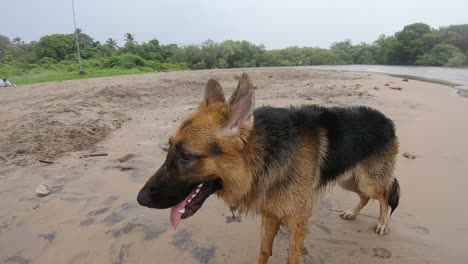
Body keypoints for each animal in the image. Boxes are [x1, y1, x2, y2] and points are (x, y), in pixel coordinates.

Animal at [136, 72, 398, 264]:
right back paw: (353, 213)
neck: (263, 157)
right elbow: (264, 251)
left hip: (368, 180)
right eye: (168, 149)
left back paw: (383, 223)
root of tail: (386, 120)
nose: (140, 199)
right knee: (367, 196)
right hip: (350, 179)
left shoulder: (297, 220)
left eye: (186, 156)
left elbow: (292, 258)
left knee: (385, 195)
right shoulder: (271, 214)